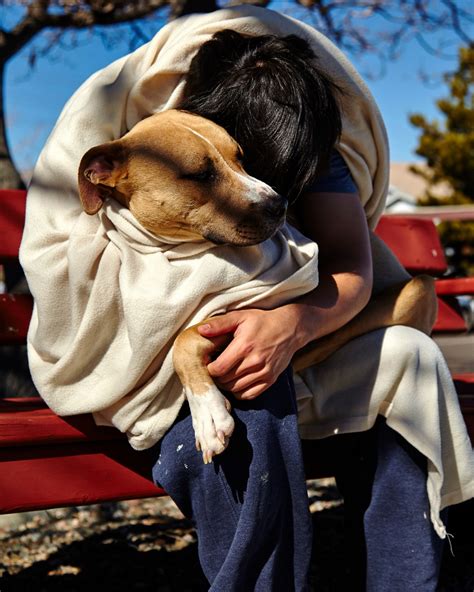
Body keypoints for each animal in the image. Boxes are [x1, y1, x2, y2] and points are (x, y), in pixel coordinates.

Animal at [78, 108, 436, 464]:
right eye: (201, 175)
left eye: (240, 157)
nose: (280, 204)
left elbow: (185, 339)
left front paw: (207, 414)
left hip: (418, 288)